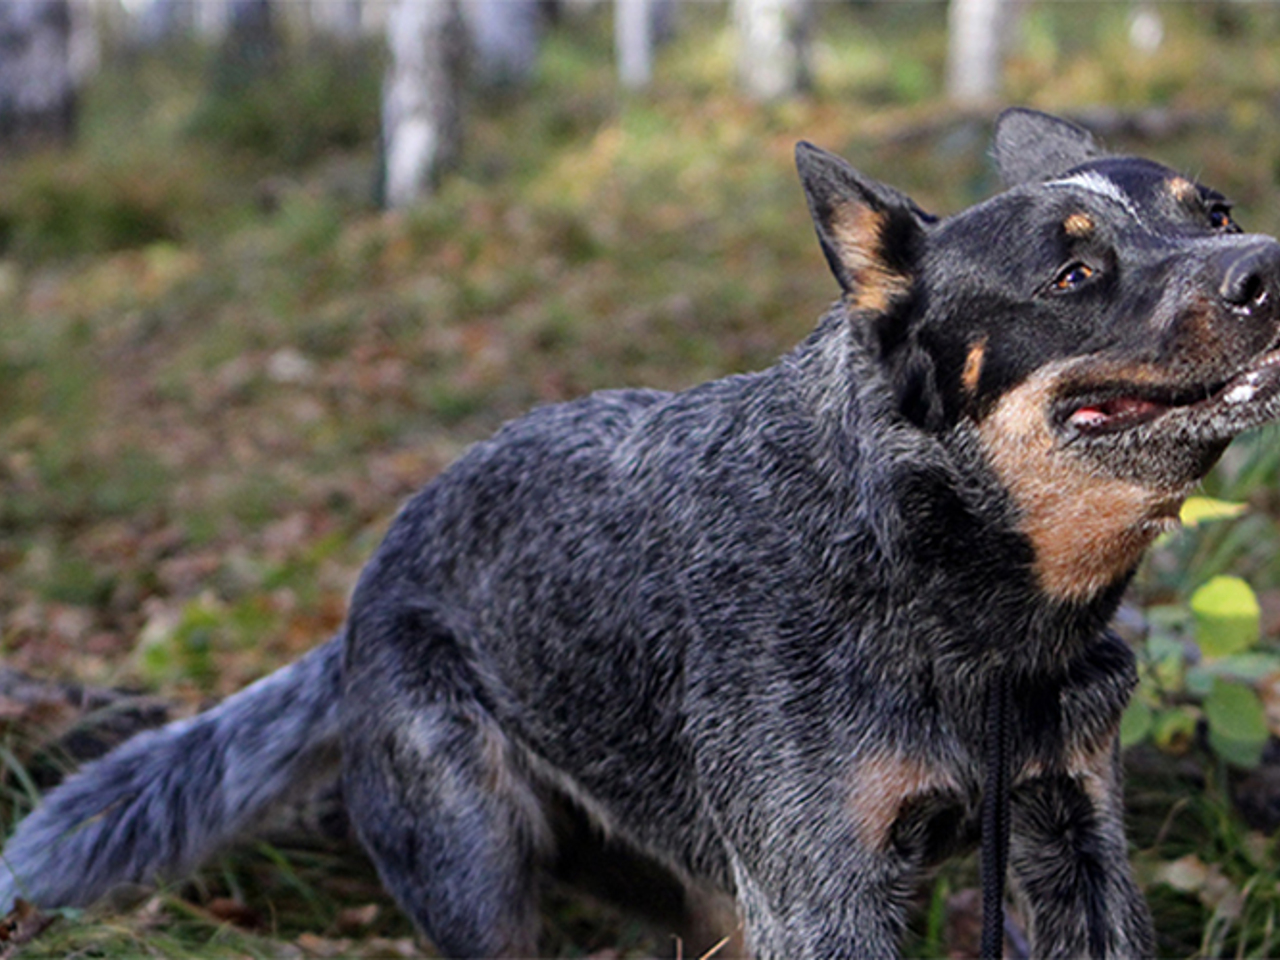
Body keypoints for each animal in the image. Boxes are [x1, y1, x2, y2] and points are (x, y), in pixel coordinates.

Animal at [2, 108, 1280, 957]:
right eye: (1071, 273)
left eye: (1209, 211)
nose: (1262, 264)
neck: (962, 597)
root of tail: (366, 591)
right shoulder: (821, 891)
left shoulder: (1072, 834)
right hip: (475, 862)